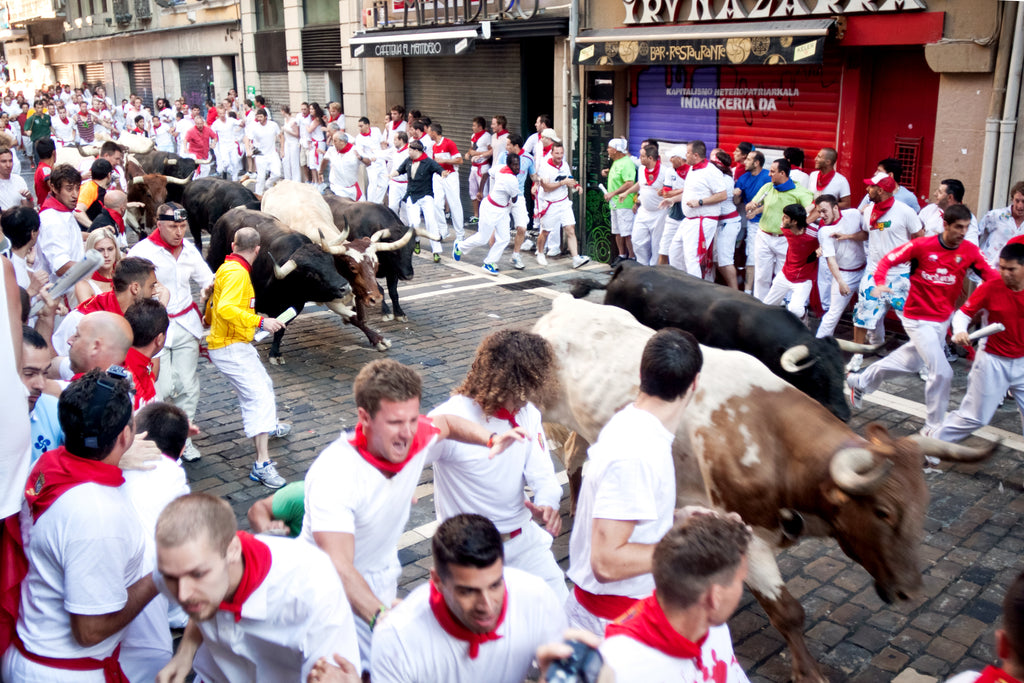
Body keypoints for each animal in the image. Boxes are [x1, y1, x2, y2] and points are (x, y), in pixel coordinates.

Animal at [532, 296, 995, 683]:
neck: (773, 440)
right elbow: (788, 612)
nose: (912, 593)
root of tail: (566, 305)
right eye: (882, 512)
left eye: (923, 506)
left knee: (578, 462)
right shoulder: (750, 536)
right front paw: (808, 673)